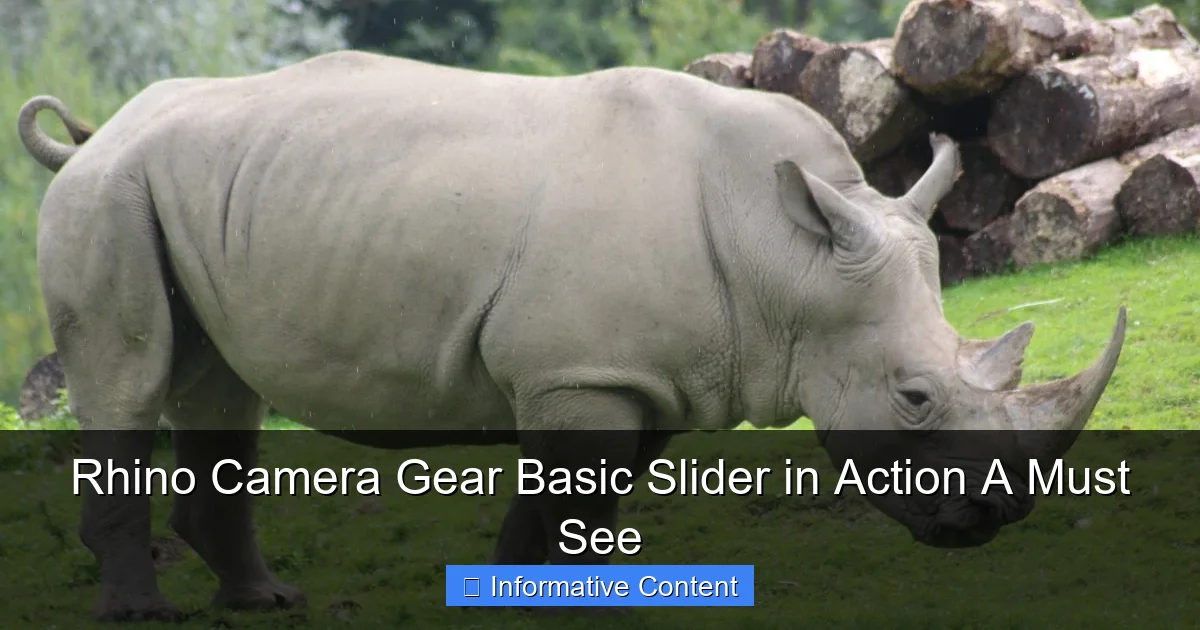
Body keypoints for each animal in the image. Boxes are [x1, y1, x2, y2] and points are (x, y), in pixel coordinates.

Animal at [18, 50, 1125, 622]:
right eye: (914, 397)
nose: (990, 521)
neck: (788, 259)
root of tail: (100, 133)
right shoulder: (579, 375)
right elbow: (561, 499)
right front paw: (515, 601)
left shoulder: (647, 373)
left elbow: (595, 503)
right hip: (109, 197)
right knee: (129, 377)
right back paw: (143, 614)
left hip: (190, 190)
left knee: (218, 386)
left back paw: (267, 601)